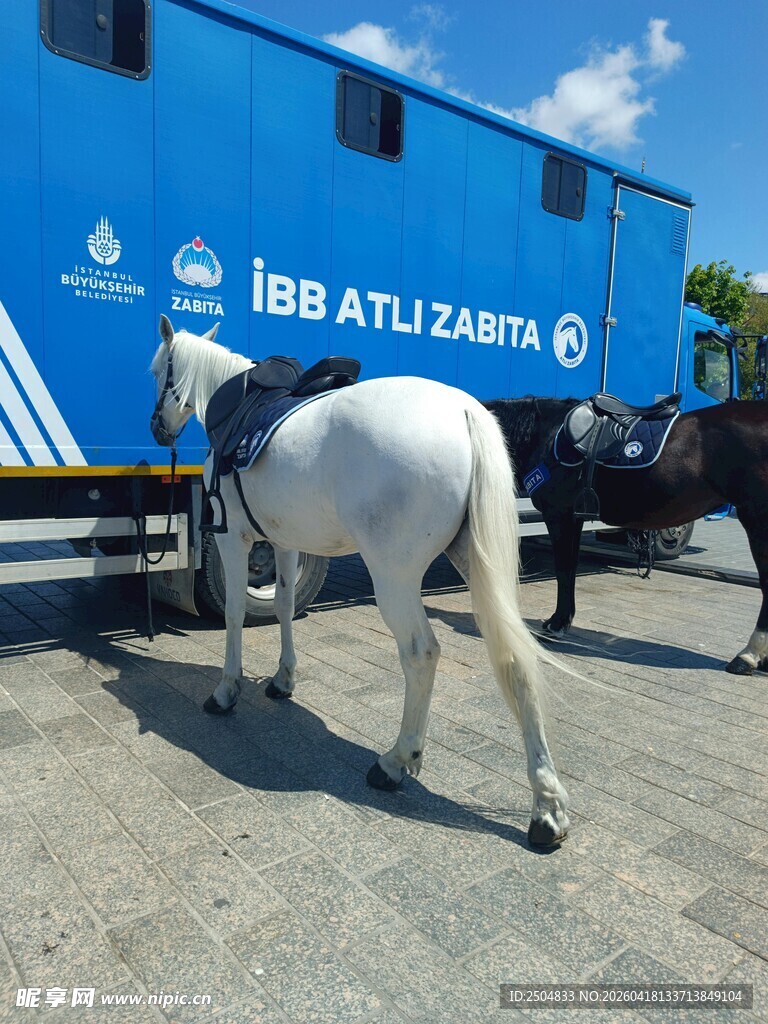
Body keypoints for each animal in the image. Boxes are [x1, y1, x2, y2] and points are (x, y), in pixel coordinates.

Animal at [149, 316, 571, 846]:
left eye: (158, 370)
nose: (157, 427)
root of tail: (463, 411)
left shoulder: (235, 537)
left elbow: (234, 614)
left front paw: (227, 691)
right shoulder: (285, 540)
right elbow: (284, 607)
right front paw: (283, 680)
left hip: (393, 575)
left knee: (421, 653)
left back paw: (395, 762)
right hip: (478, 565)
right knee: (516, 657)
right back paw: (547, 808)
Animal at [485, 395, 768, 675]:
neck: (545, 433)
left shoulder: (560, 515)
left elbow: (563, 570)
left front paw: (556, 625)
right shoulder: (574, 518)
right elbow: (570, 568)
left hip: (756, 519)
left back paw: (748, 656)